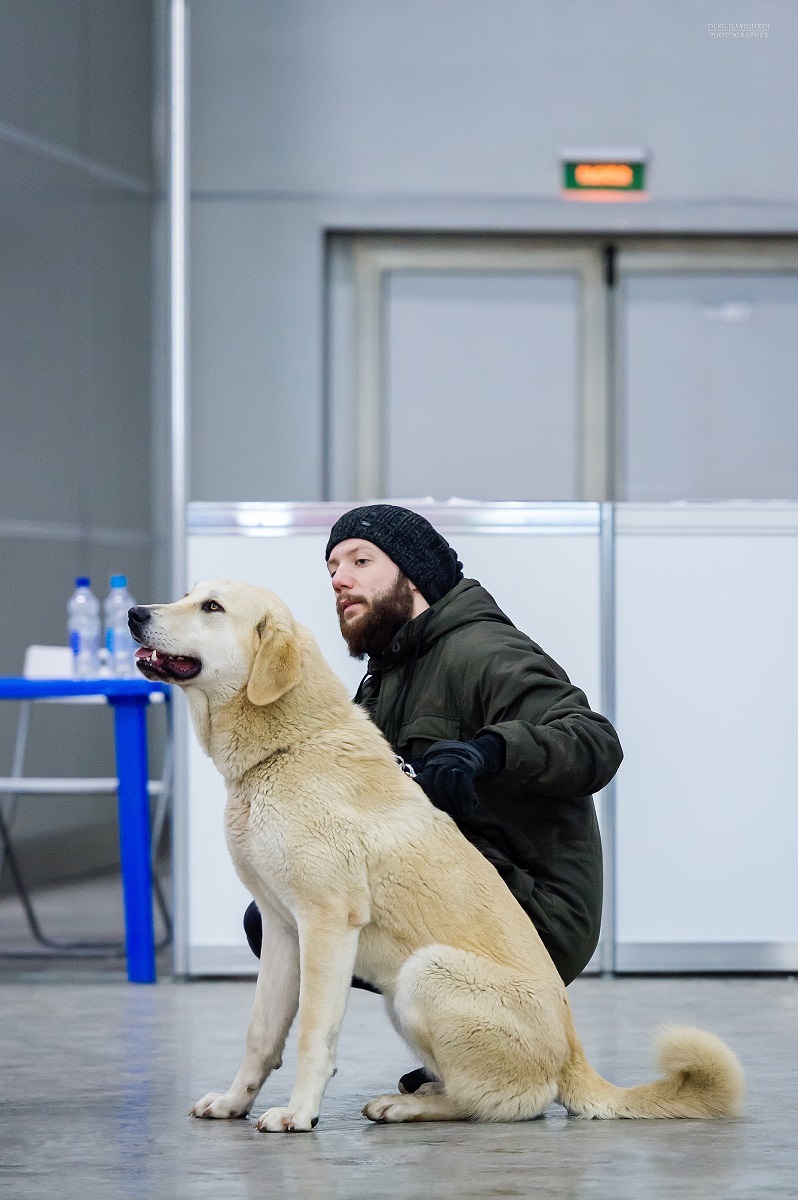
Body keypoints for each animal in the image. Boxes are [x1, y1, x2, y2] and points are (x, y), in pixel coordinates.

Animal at [127, 580, 744, 1132]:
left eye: (211, 607)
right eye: (190, 594)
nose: (135, 613)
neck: (286, 749)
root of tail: (573, 1057)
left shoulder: (327, 923)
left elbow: (311, 1035)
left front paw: (300, 1114)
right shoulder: (284, 930)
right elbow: (261, 1034)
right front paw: (235, 1103)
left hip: (425, 972)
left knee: (505, 1102)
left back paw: (408, 1106)